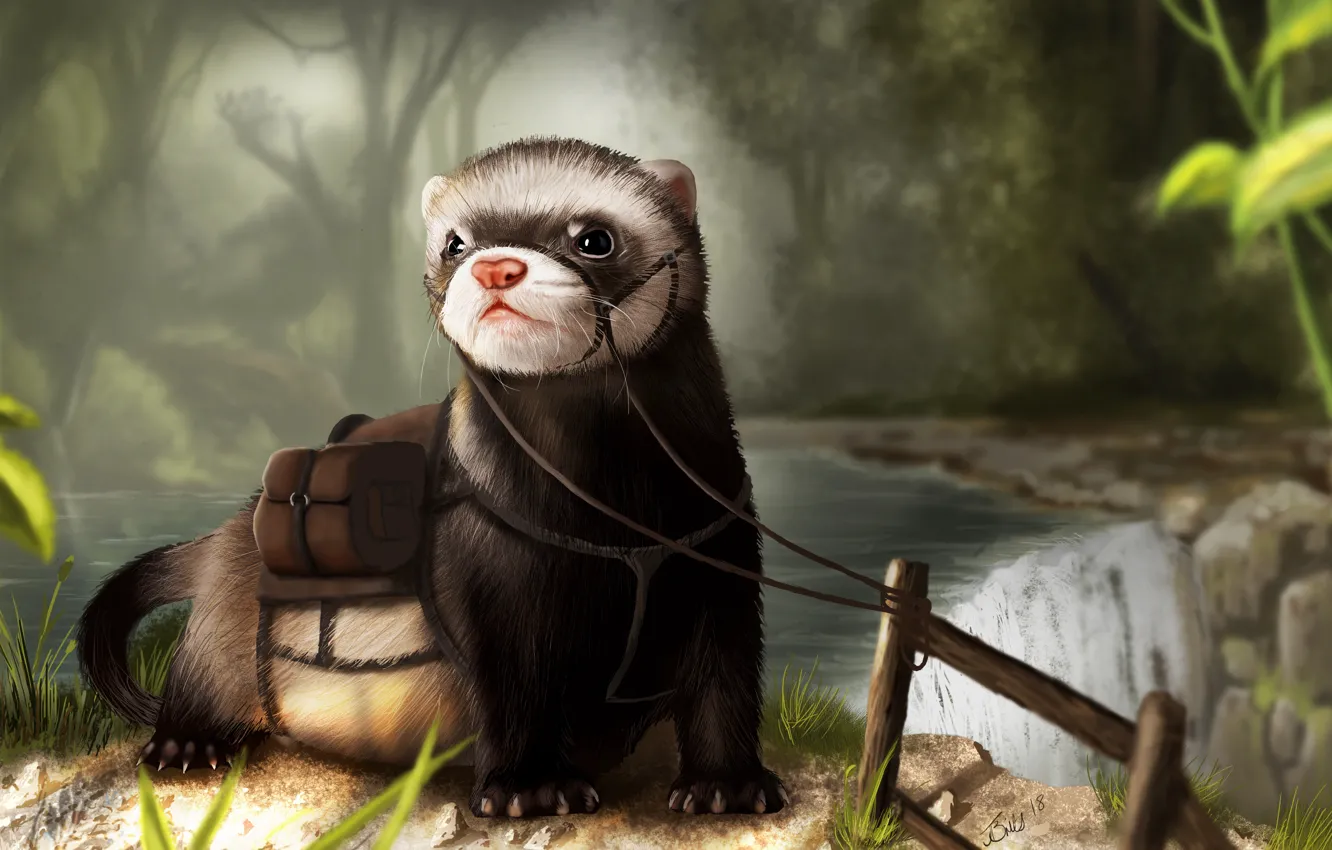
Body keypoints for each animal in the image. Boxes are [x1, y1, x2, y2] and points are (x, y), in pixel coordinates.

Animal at [76, 137, 788, 819]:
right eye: (455, 241)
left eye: (595, 237)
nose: (495, 266)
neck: (622, 513)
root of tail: (230, 528)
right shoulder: (490, 575)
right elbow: (515, 690)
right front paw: (530, 788)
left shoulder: (720, 553)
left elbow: (724, 682)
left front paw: (727, 786)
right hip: (217, 640)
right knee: (194, 685)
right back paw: (187, 746)